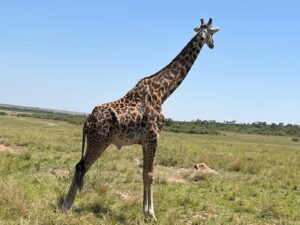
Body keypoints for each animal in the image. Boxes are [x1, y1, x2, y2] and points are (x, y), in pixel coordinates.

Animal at [62, 18, 219, 220]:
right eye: (212, 34)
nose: (213, 45)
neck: (163, 92)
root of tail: (87, 121)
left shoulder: (145, 141)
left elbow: (144, 173)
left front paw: (145, 212)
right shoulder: (153, 137)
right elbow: (151, 174)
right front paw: (152, 214)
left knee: (80, 166)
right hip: (99, 142)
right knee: (80, 166)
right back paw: (67, 206)